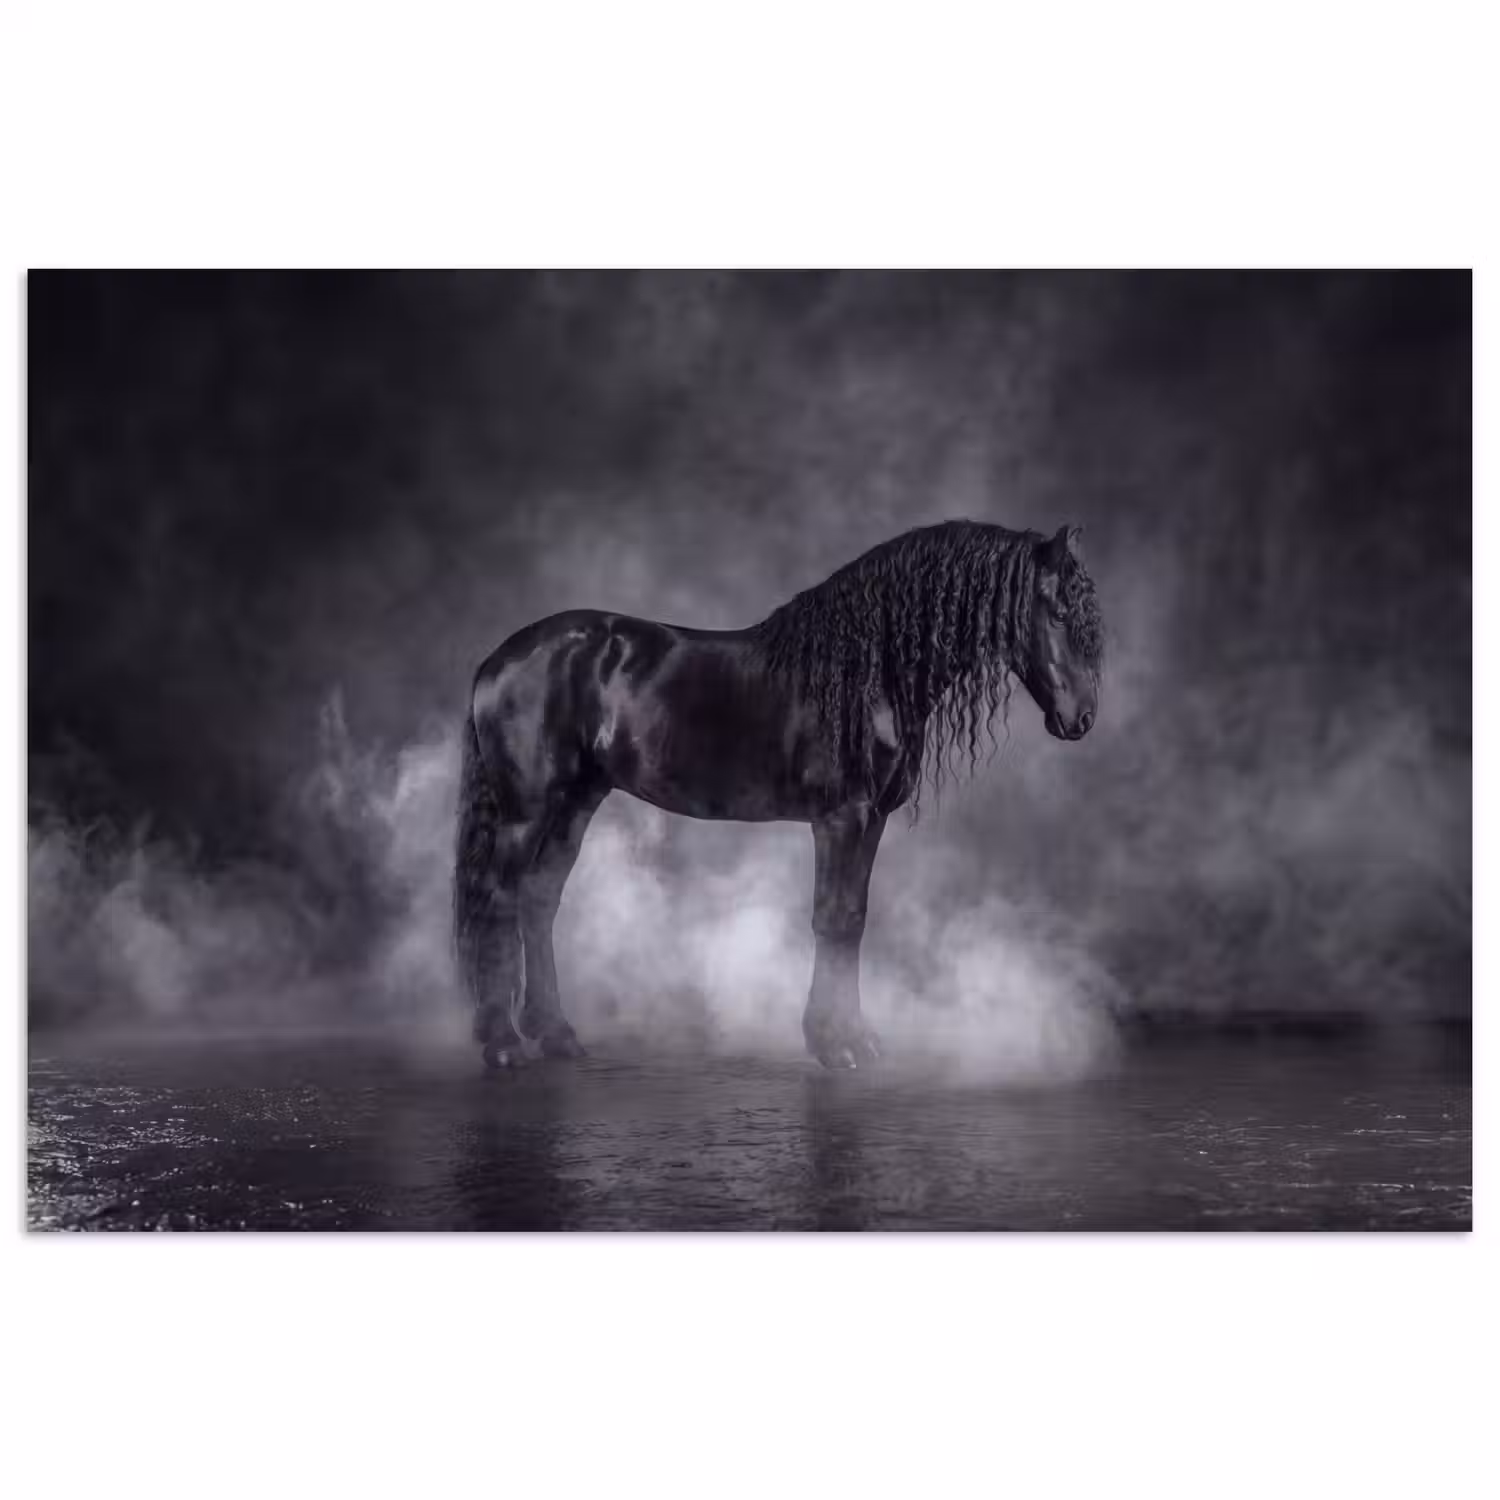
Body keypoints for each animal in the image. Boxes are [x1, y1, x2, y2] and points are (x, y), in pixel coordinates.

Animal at [454, 518, 1103, 1070]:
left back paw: (556, 1035)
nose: (1082, 719)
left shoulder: (872, 821)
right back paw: (503, 1043)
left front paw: (857, 1038)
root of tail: (498, 658)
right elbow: (832, 917)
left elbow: (854, 919)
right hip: (526, 811)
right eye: (1056, 610)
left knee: (539, 899)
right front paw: (834, 1044)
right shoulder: (841, 818)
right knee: (499, 900)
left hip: (577, 801)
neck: (868, 672)